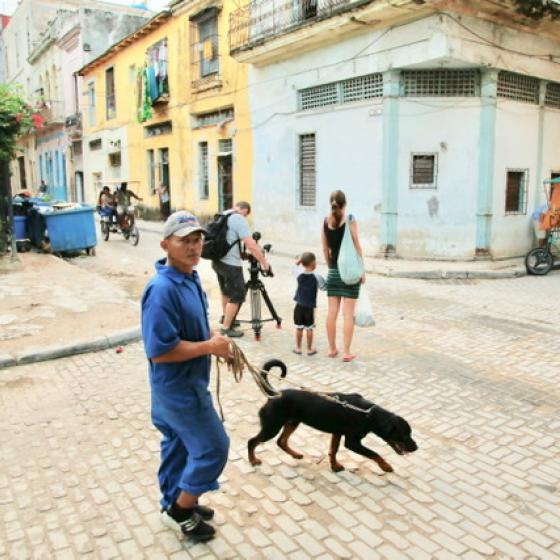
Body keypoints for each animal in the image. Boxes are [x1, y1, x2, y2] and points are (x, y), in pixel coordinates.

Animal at [248, 358, 416, 472]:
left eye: (410, 433)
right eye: (404, 435)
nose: (416, 448)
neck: (368, 414)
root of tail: (274, 394)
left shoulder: (337, 433)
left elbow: (333, 451)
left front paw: (335, 466)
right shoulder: (352, 442)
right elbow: (374, 453)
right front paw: (386, 466)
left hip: (292, 422)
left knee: (281, 441)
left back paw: (296, 455)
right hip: (272, 426)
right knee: (252, 441)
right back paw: (253, 460)